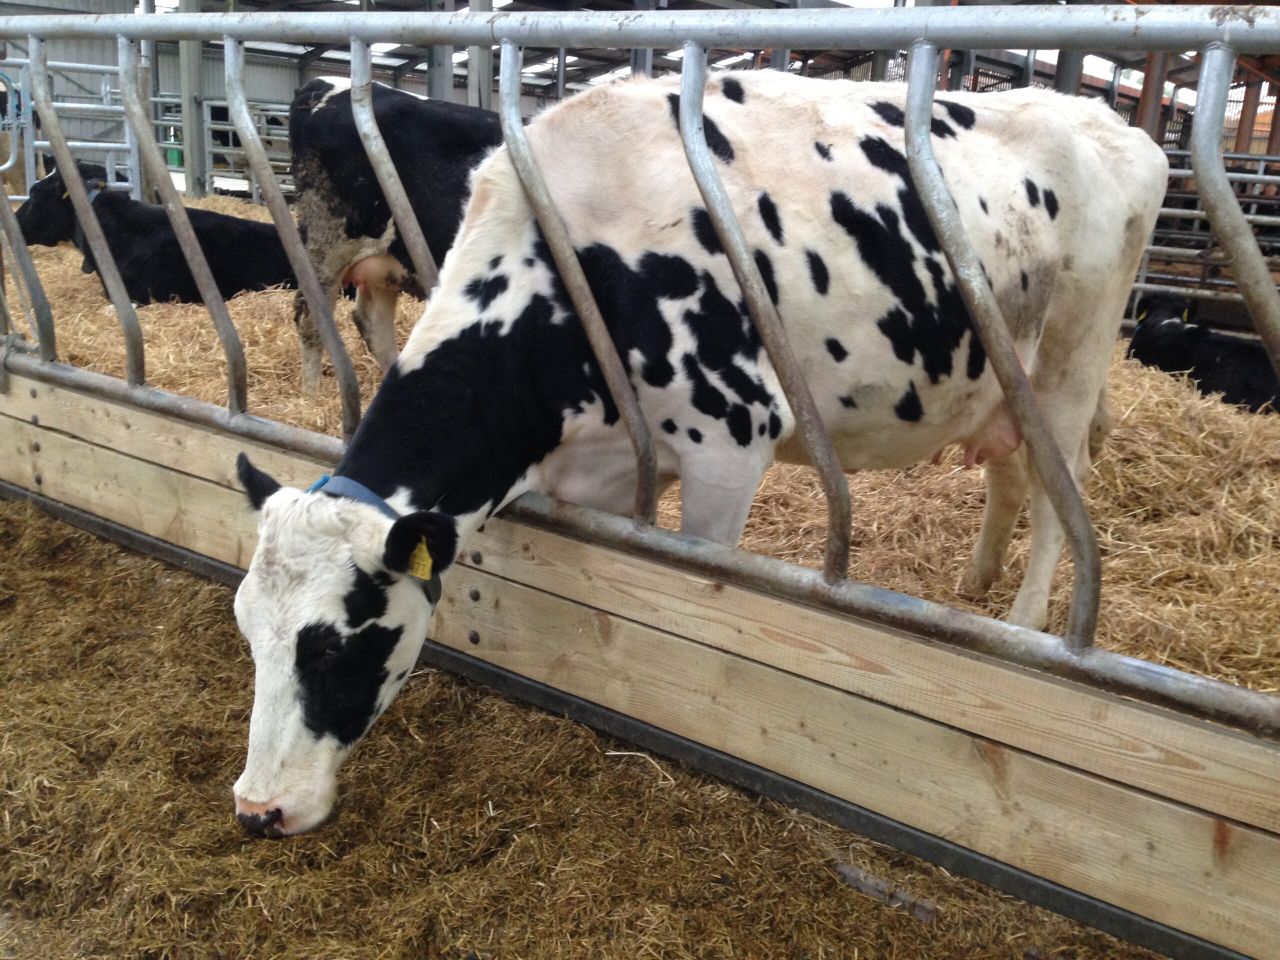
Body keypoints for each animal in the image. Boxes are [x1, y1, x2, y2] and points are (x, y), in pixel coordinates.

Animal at [288, 77, 503, 394]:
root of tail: (320, 84)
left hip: (385, 259)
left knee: (371, 322)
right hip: (328, 241)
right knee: (311, 317)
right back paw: (311, 397)